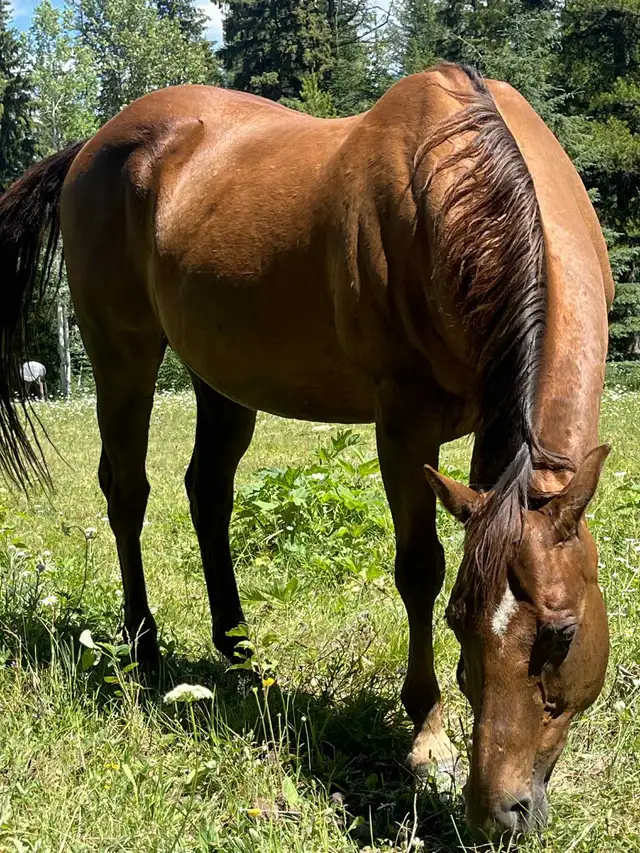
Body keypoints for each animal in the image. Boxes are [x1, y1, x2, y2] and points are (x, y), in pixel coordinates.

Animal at [0, 63, 613, 841]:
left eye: (562, 634)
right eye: (457, 624)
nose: (496, 814)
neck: (462, 189)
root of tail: (91, 146)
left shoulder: (489, 442)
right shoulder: (402, 424)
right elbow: (419, 568)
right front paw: (428, 739)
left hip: (220, 376)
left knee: (208, 489)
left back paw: (237, 649)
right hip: (122, 355)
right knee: (127, 491)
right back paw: (143, 645)